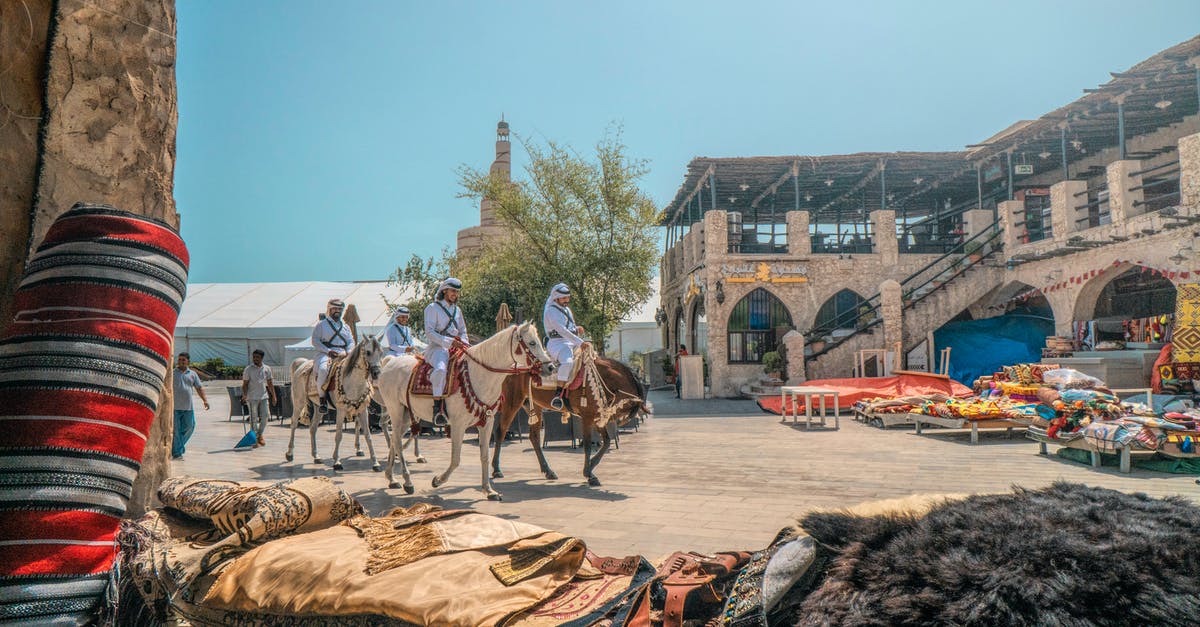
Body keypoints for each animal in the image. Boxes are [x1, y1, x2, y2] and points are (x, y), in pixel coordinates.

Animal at [283, 333, 381, 470]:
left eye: (381, 352)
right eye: (368, 352)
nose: (376, 373)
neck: (353, 381)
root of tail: (302, 364)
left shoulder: (362, 409)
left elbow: (367, 435)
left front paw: (375, 462)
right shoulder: (341, 410)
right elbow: (339, 435)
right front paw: (337, 462)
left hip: (318, 407)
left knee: (313, 428)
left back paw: (316, 456)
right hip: (299, 402)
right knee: (293, 424)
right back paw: (290, 453)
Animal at [376, 321, 554, 497]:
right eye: (532, 343)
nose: (551, 367)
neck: (479, 375)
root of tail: (390, 362)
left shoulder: (487, 422)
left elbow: (484, 456)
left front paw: (488, 490)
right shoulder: (458, 425)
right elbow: (455, 460)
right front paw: (437, 480)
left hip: (406, 414)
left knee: (394, 440)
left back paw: (391, 478)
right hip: (395, 411)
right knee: (397, 442)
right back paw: (407, 481)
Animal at [492, 355, 652, 482]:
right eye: (623, 412)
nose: (613, 420)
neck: (600, 377)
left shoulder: (596, 416)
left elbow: (606, 442)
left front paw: (590, 466)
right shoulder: (587, 417)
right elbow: (588, 444)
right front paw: (589, 473)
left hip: (534, 405)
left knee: (534, 437)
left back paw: (548, 470)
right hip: (512, 401)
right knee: (501, 431)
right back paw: (496, 469)